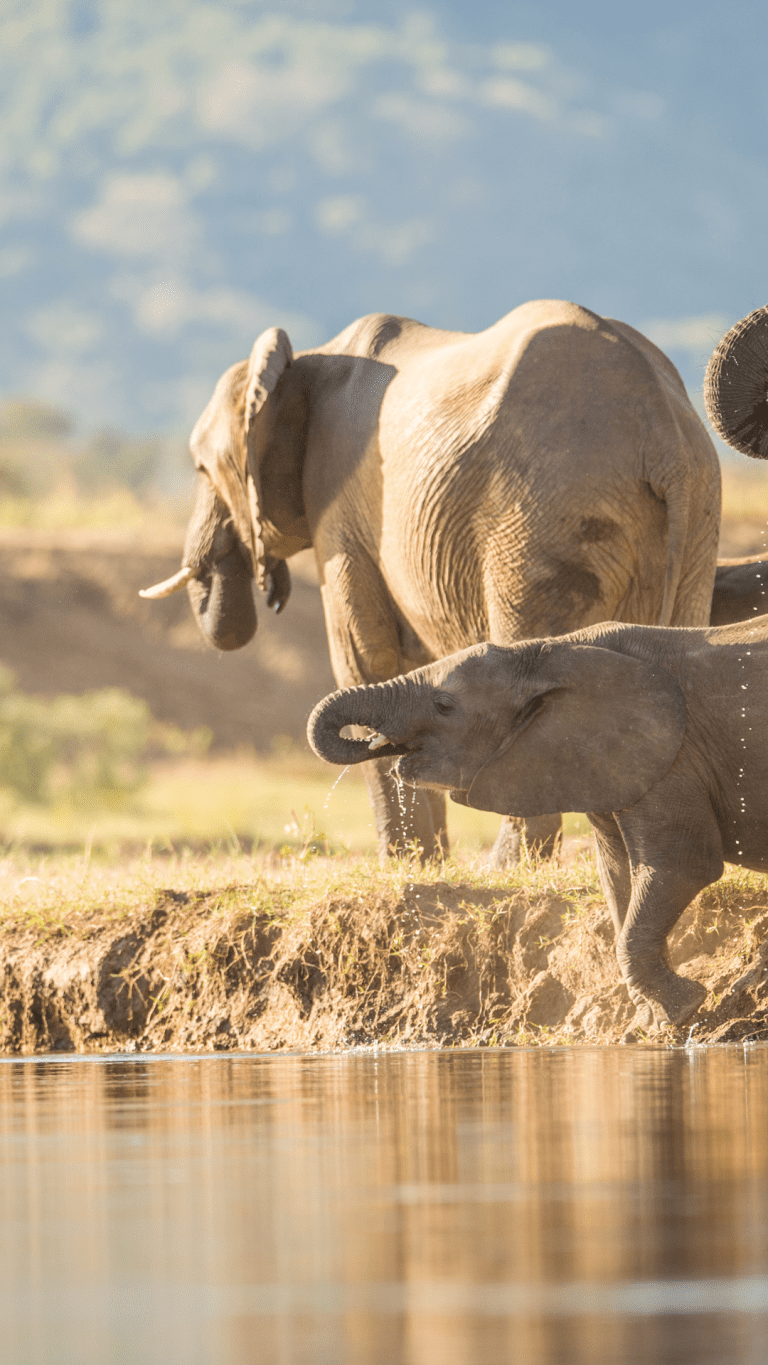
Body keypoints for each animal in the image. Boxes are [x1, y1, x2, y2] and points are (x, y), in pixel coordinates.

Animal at [139, 300, 722, 862]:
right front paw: (428, 861)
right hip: (696, 522)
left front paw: (406, 865)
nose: (266, 588)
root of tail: (664, 437)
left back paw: (508, 867)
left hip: (544, 522)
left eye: (200, 469)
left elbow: (364, 659)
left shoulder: (341, 507)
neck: (303, 360)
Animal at [307, 615, 768, 1030]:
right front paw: (649, 1021)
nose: (372, 741)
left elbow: (679, 866)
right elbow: (618, 877)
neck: (548, 652)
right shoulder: (604, 761)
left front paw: (679, 1013)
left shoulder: (672, 757)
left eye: (444, 705)